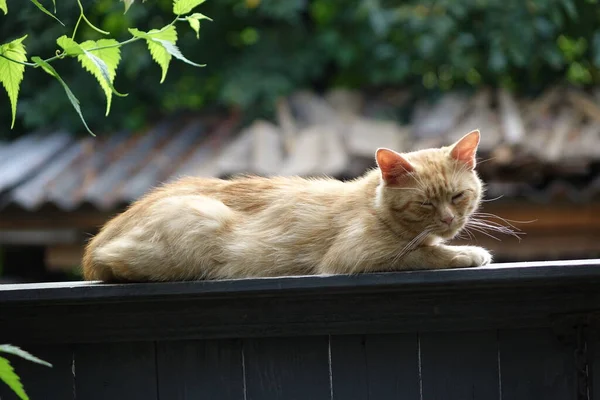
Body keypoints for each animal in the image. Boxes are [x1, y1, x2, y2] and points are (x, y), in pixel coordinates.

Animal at [81, 129, 492, 282]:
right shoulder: (354, 256)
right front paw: (467, 253)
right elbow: (422, 253)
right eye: (425, 203)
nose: (449, 219)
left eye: (458, 196)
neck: (371, 202)